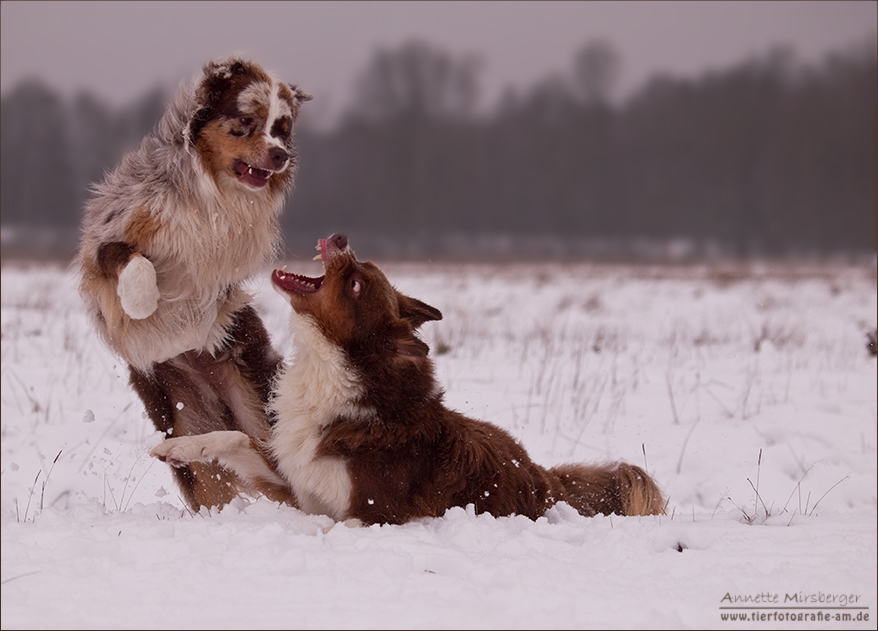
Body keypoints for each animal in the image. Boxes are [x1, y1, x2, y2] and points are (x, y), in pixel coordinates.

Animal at [78, 56, 312, 512]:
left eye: (282, 128)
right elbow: (129, 260)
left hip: (256, 399)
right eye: (247, 120)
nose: (279, 155)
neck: (214, 190)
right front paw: (141, 302)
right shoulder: (110, 231)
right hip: (181, 415)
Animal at [150, 233, 668, 524]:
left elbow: (329, 528)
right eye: (362, 269)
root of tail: (545, 478)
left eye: (357, 284)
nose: (339, 236)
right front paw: (177, 447)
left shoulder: (369, 513)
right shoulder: (298, 485)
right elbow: (234, 437)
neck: (335, 373)